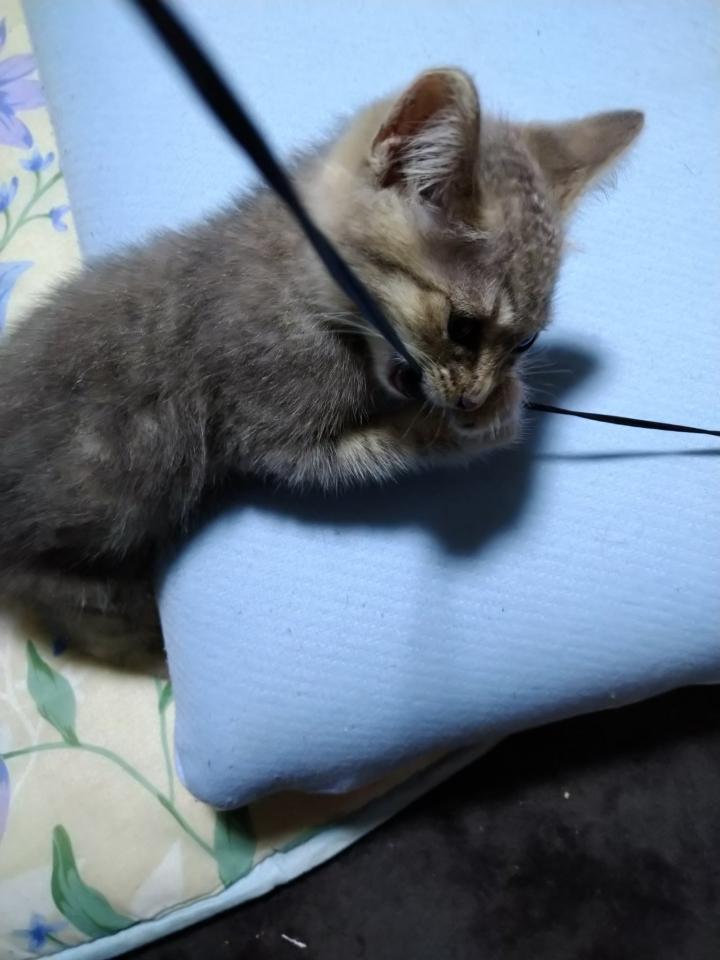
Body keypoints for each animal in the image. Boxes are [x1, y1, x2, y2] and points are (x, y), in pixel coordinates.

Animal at [0, 68, 642, 650]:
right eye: (462, 327)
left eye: (526, 343)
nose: (474, 394)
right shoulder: (265, 432)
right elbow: (393, 442)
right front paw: (486, 422)